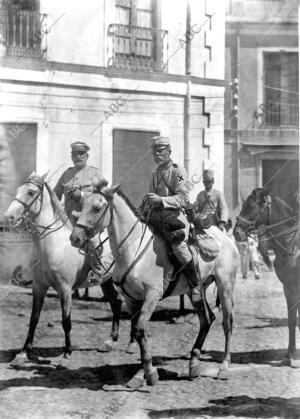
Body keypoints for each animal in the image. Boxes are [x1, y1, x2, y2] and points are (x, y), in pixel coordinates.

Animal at [234, 189, 300, 366]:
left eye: (251, 206)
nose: (236, 232)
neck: (293, 247)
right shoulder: (289, 289)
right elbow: (292, 320)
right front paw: (289, 355)